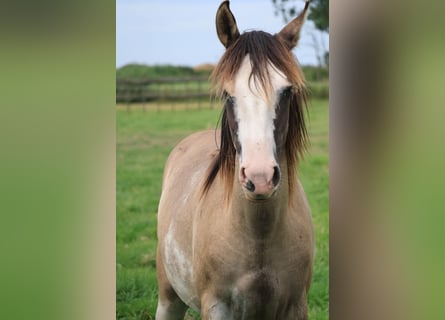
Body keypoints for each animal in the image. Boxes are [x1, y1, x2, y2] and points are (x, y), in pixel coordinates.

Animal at [155, 1, 312, 318]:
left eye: (287, 91)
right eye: (228, 94)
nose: (260, 179)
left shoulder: (296, 306)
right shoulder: (217, 306)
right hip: (168, 298)